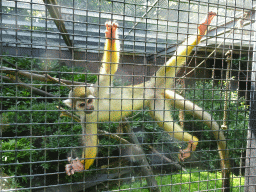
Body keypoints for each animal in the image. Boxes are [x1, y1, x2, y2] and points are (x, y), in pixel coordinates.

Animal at [63, 12, 228, 176]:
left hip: (159, 78)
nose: (89, 108)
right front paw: (80, 166)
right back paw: (192, 140)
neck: (95, 105)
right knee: (162, 120)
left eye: (90, 101)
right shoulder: (85, 118)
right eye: (82, 104)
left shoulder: (98, 89)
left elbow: (110, 68)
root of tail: (153, 88)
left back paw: (201, 31)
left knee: (168, 67)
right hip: (156, 101)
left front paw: (111, 35)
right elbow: (91, 142)